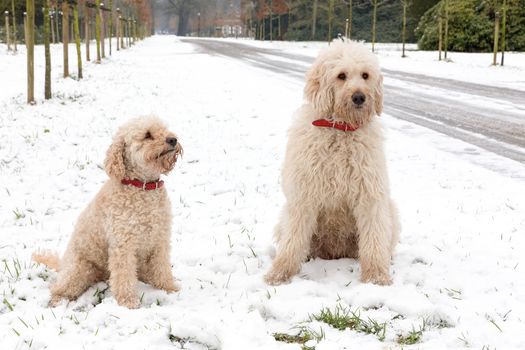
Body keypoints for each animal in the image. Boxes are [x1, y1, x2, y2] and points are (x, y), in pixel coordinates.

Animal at [33, 116, 182, 308]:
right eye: (147, 135)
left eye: (164, 129)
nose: (173, 139)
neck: (143, 187)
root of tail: (63, 263)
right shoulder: (123, 244)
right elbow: (124, 277)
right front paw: (128, 302)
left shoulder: (160, 239)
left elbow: (162, 268)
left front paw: (169, 288)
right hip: (79, 269)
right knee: (58, 287)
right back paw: (57, 300)